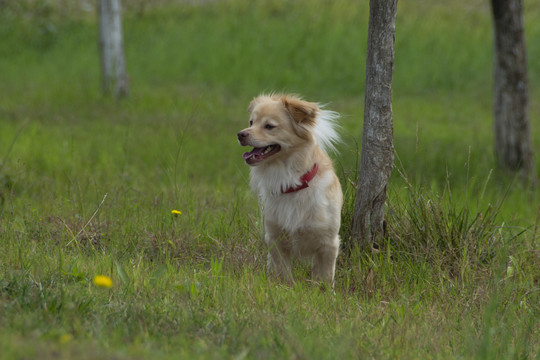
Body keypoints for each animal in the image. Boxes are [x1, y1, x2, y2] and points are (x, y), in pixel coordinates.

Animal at [237, 94, 342, 286]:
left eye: (269, 126)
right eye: (251, 122)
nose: (240, 134)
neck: (290, 183)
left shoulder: (328, 242)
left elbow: (324, 277)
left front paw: (322, 291)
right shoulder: (275, 238)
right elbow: (283, 273)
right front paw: (286, 287)